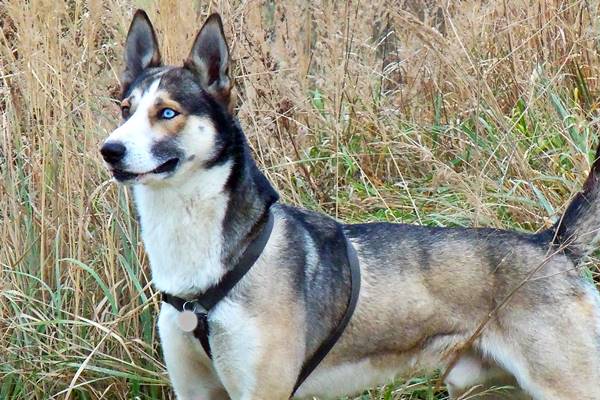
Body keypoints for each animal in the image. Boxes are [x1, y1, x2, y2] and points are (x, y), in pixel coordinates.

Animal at [101, 8, 600, 400]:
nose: (110, 150)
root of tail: (552, 245)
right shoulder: (197, 391)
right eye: (125, 109)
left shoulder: (262, 390)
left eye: (167, 112)